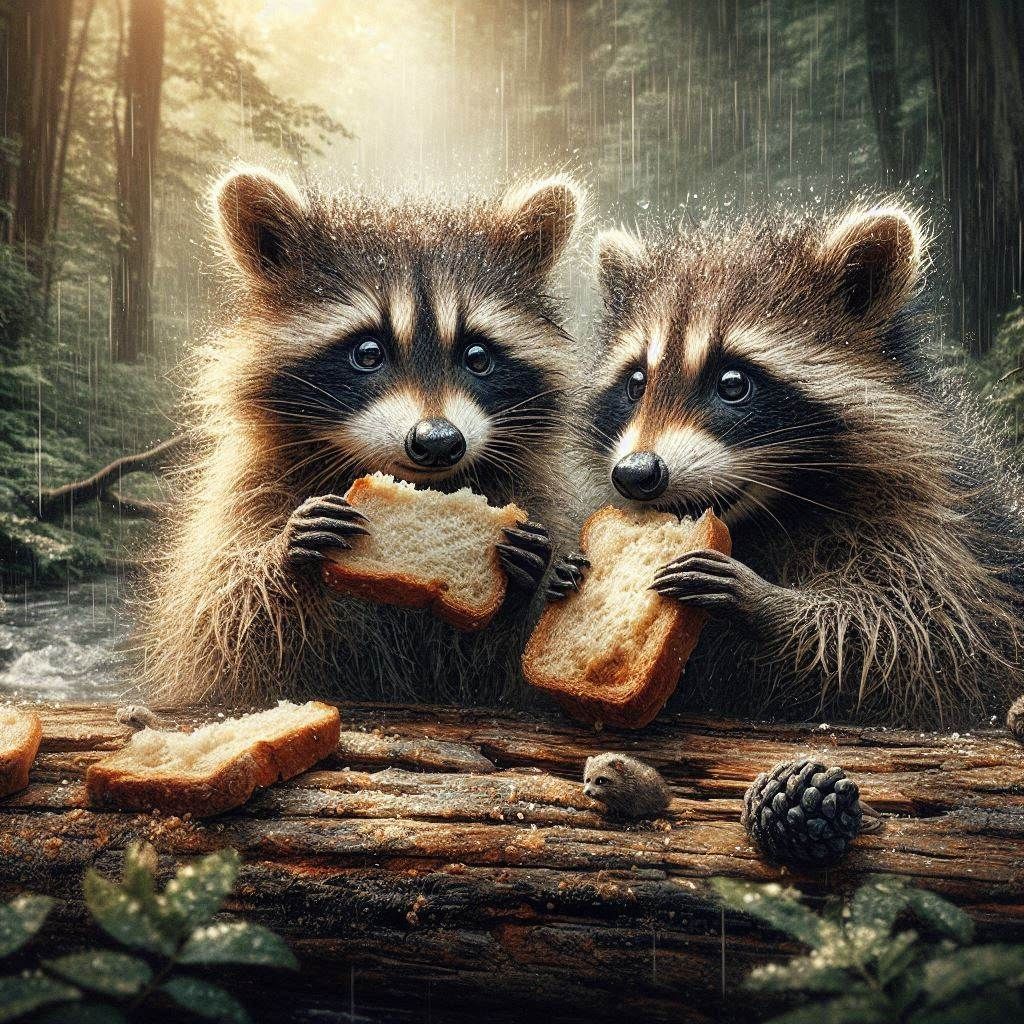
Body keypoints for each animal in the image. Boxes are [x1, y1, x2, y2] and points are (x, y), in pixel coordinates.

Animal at [140, 167, 585, 707]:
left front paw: (529, 577)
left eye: (477, 356)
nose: (438, 441)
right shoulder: (245, 496)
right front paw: (285, 555)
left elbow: (506, 676)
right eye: (368, 352)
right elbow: (224, 631)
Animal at [555, 204, 1024, 728]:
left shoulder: (939, 538)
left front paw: (771, 604)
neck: (769, 516)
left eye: (733, 383)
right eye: (636, 383)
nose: (635, 474)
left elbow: (917, 638)